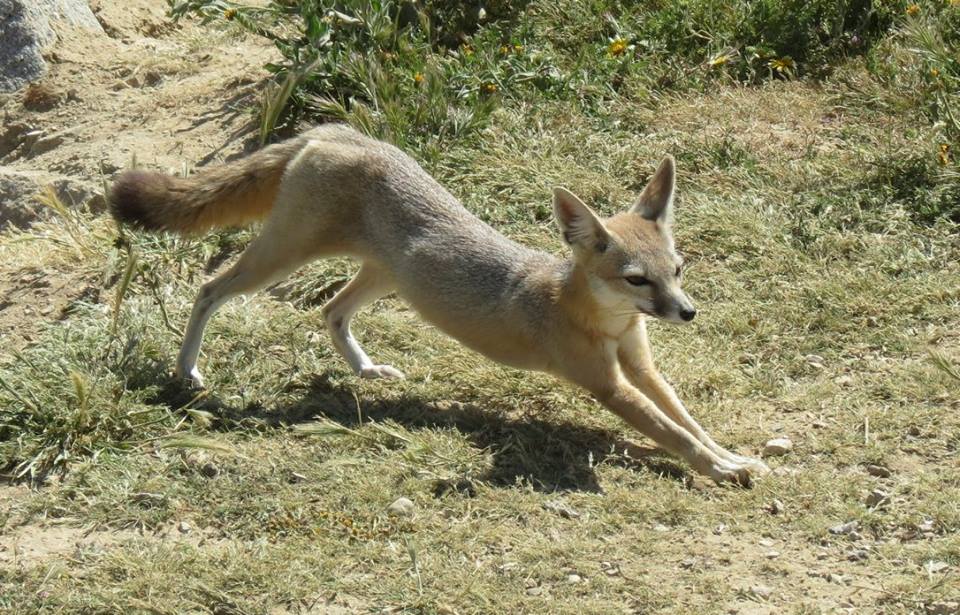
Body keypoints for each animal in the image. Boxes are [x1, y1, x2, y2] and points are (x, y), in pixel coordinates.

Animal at [109, 123, 770, 485]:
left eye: (677, 271)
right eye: (637, 280)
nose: (687, 313)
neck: (600, 320)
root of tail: (341, 132)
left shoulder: (640, 365)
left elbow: (689, 422)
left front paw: (732, 454)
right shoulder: (608, 385)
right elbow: (673, 433)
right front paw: (721, 468)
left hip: (385, 278)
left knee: (330, 311)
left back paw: (366, 370)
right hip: (281, 259)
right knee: (209, 288)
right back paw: (187, 370)